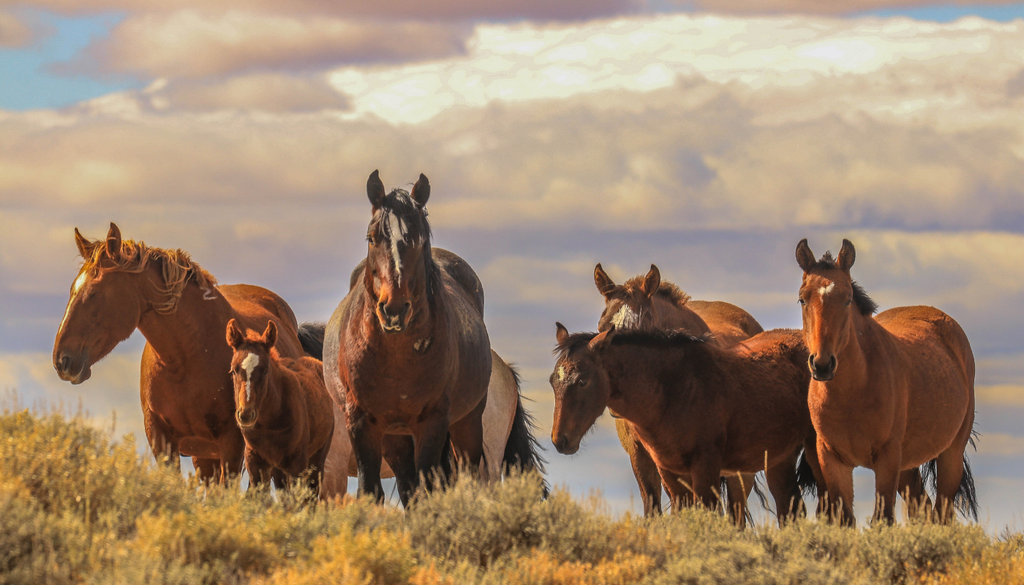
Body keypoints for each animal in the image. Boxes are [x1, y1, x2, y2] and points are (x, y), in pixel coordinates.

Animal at [52, 223, 330, 482]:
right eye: (72, 289)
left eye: (94, 293)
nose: (61, 360)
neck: (184, 360)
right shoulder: (163, 442)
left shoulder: (232, 443)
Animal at [226, 319, 335, 499]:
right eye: (234, 370)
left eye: (265, 371)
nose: (246, 415)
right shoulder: (255, 462)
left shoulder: (297, 464)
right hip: (278, 469)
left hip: (316, 459)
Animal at [323, 171, 494, 504]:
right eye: (372, 237)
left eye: (418, 239)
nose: (393, 309)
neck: (396, 358)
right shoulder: (362, 422)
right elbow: (371, 490)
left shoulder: (433, 421)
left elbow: (429, 487)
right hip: (395, 437)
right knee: (407, 486)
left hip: (467, 422)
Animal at [550, 324, 815, 525]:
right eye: (554, 380)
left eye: (582, 381)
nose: (560, 440)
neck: (674, 388)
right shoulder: (670, 472)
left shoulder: (705, 467)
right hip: (780, 460)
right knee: (791, 509)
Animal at [795, 239, 977, 525]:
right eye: (803, 299)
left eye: (847, 300)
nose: (822, 364)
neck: (852, 393)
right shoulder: (832, 459)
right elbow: (845, 518)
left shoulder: (888, 458)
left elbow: (883, 519)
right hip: (907, 467)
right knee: (923, 509)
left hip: (950, 456)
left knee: (942, 513)